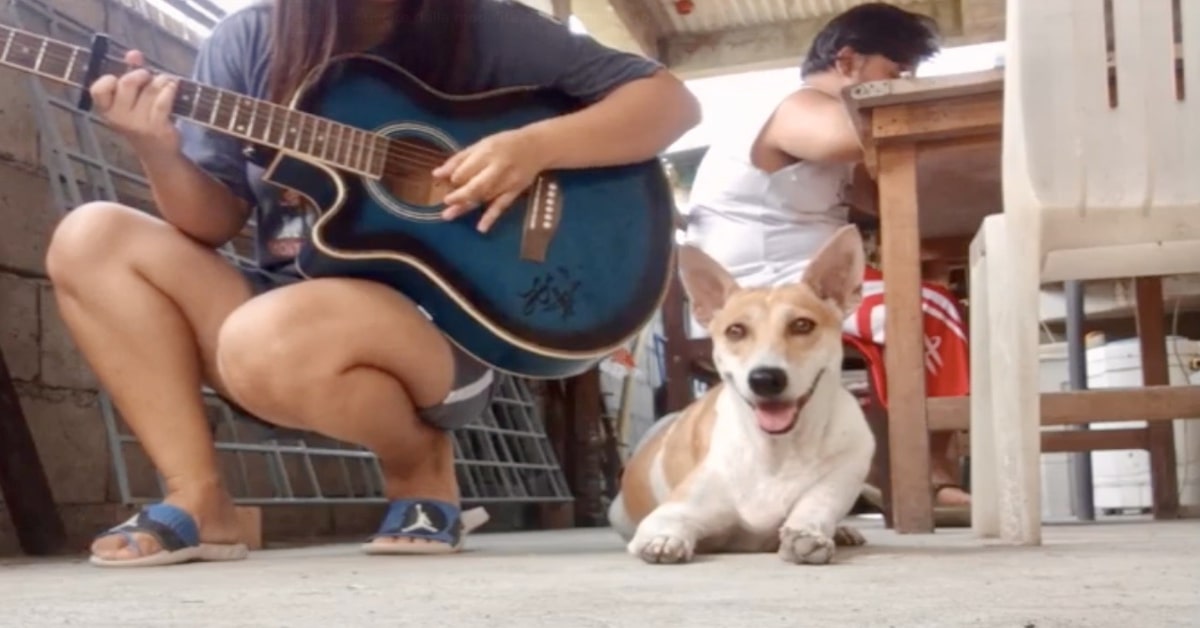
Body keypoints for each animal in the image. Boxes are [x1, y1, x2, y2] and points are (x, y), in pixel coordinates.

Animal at [609, 224, 873, 564]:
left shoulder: (840, 476)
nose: (765, 379)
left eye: (802, 325)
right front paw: (664, 541)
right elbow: (666, 527)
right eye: (735, 331)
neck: (777, 450)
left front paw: (808, 534)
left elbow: (813, 510)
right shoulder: (671, 512)